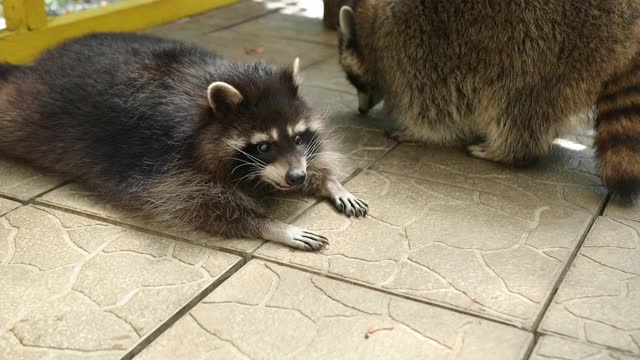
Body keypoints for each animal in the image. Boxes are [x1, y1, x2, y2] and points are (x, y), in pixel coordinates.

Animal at [0, 33, 368, 250]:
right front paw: (273, 226)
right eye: (263, 146)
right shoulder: (168, 163)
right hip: (32, 110)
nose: (297, 178)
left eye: (297, 137)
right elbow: (200, 207)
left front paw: (331, 182)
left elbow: (316, 158)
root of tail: (43, 61)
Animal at [336, 0, 640, 200]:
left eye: (354, 80)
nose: (361, 109)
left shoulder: (411, 45)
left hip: (550, 41)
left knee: (517, 102)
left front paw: (418, 131)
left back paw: (509, 151)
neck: (371, 23)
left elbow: (432, 107)